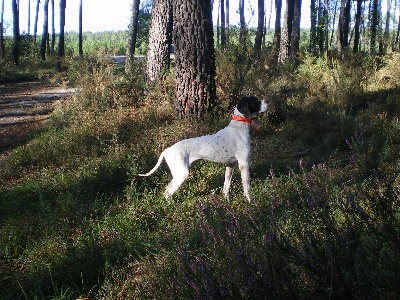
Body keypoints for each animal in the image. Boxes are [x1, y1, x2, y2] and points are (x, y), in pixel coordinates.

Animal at [139, 95, 268, 202]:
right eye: (256, 101)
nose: (267, 101)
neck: (239, 127)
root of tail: (166, 151)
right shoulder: (244, 165)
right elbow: (247, 188)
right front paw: (251, 203)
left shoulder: (230, 165)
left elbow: (226, 186)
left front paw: (227, 201)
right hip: (182, 174)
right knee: (167, 193)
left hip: (177, 174)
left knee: (166, 190)